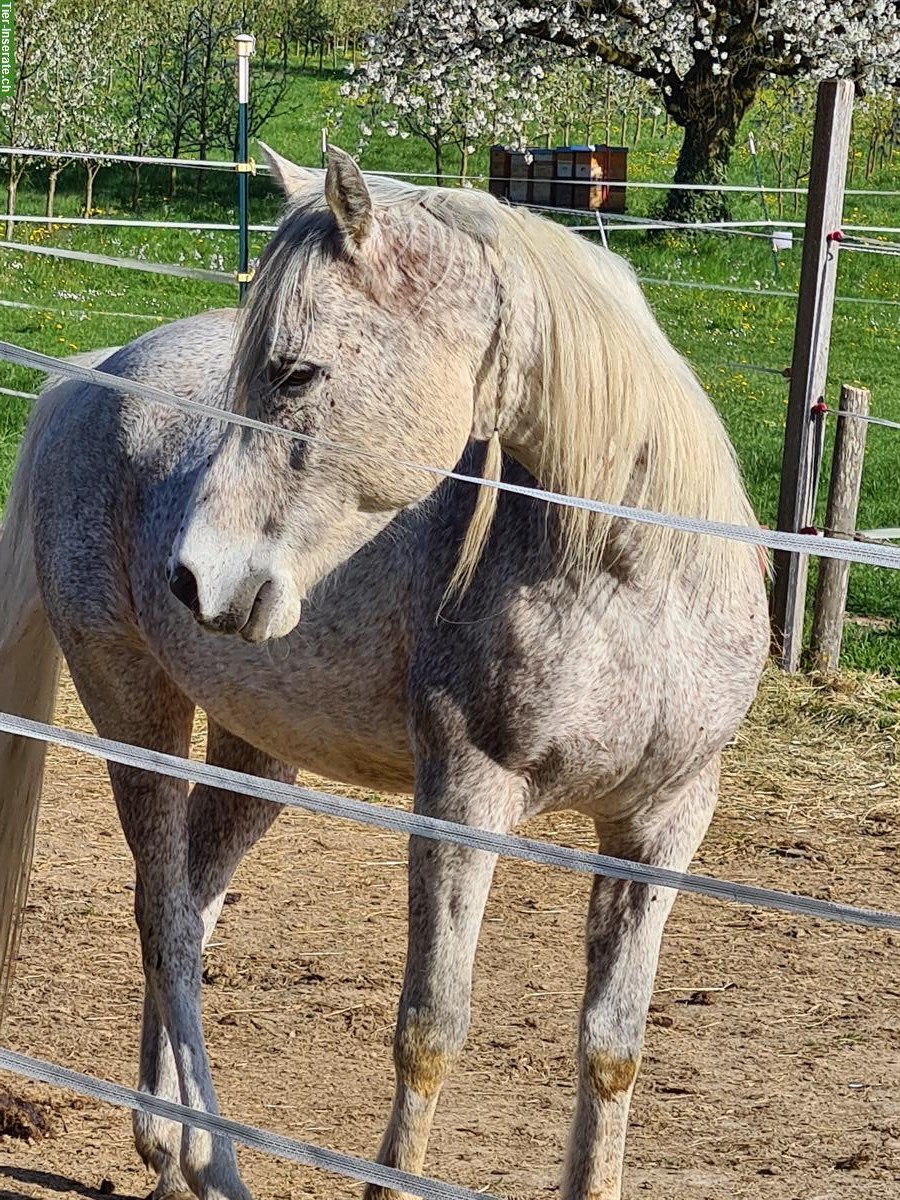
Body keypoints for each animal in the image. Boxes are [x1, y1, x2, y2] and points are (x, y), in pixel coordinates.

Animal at [0, 150, 768, 1200]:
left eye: (296, 370)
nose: (195, 576)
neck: (634, 581)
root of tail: (89, 378)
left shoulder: (662, 826)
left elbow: (613, 1048)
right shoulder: (462, 802)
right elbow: (429, 1032)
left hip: (256, 754)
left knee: (192, 911)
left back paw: (168, 1148)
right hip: (134, 708)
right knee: (164, 920)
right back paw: (213, 1159)